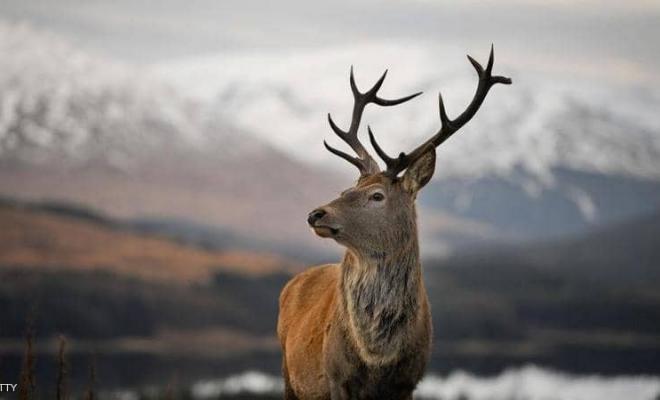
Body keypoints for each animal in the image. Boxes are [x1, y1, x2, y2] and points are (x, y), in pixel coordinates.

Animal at [277, 46, 511, 400]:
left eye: (377, 195)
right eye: (346, 190)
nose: (316, 213)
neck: (377, 357)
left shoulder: (408, 381)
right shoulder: (336, 377)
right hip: (290, 375)